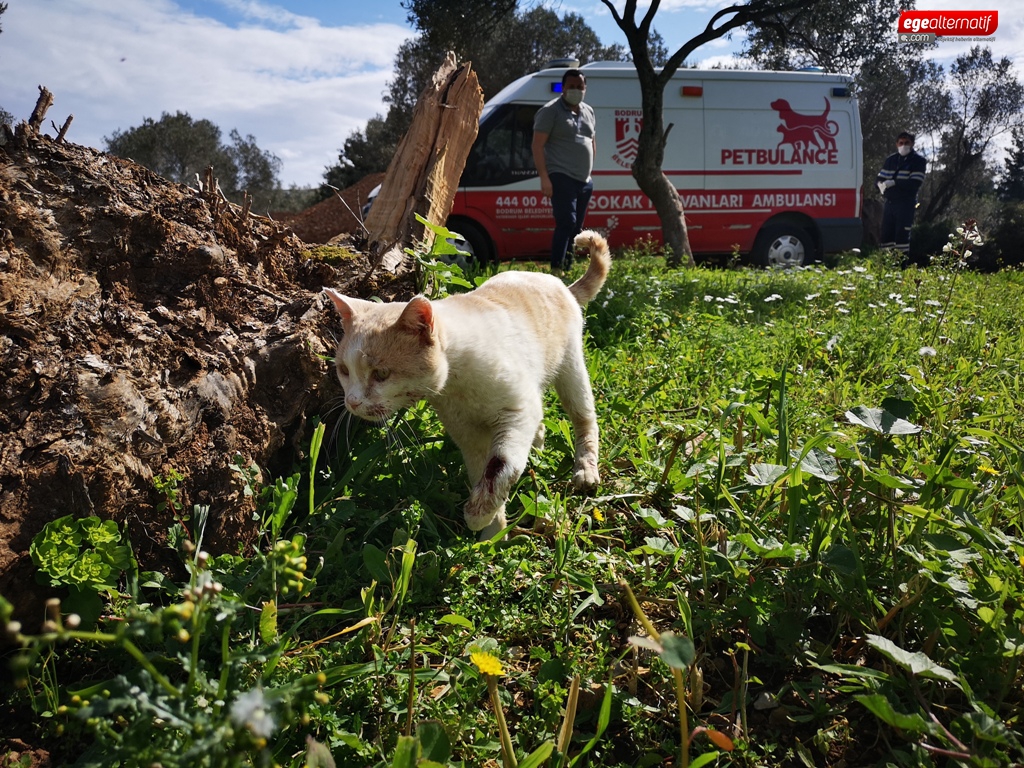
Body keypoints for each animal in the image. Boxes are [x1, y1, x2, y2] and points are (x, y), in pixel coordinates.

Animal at [323, 231, 606, 536]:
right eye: (344, 370)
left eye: (382, 374)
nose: (352, 402)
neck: (457, 385)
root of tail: (558, 283)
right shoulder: (467, 433)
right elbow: (482, 471)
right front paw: (491, 532)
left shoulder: (518, 411)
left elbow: (501, 465)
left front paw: (478, 516)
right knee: (542, 426)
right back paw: (538, 455)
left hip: (572, 370)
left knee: (585, 420)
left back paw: (585, 471)